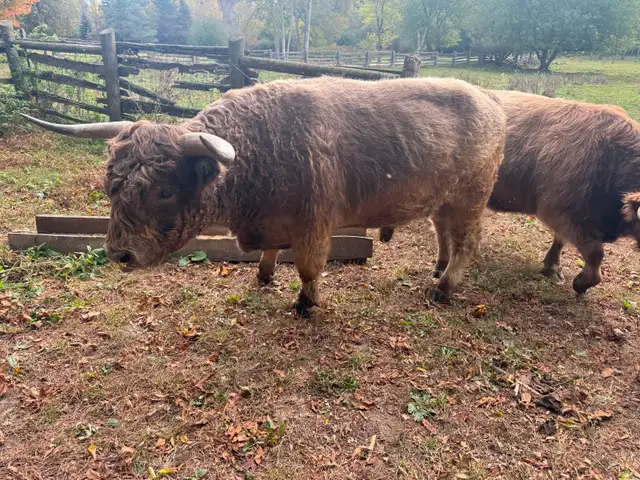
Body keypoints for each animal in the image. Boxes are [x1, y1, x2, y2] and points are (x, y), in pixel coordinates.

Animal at [22, 76, 506, 316]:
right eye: (111, 187)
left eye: (164, 191)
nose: (119, 254)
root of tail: (488, 98)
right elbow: (271, 254)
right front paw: (263, 276)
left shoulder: (314, 226)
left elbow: (309, 270)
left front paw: (305, 304)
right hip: (444, 200)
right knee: (443, 233)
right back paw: (437, 268)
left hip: (471, 198)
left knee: (468, 243)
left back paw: (444, 288)